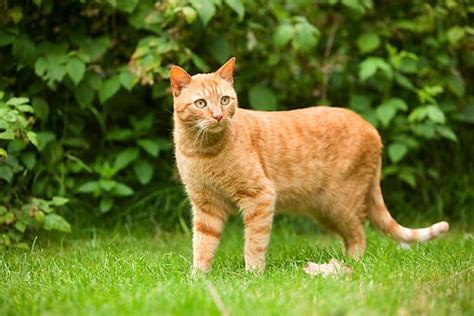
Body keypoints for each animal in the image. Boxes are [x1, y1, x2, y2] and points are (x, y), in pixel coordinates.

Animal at [169, 58, 448, 272]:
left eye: (225, 100)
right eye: (201, 103)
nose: (218, 116)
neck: (202, 151)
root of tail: (370, 127)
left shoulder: (261, 197)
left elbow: (254, 243)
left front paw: (253, 274)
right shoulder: (206, 206)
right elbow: (202, 245)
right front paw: (198, 277)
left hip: (341, 205)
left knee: (359, 235)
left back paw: (352, 265)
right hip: (326, 211)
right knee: (351, 237)